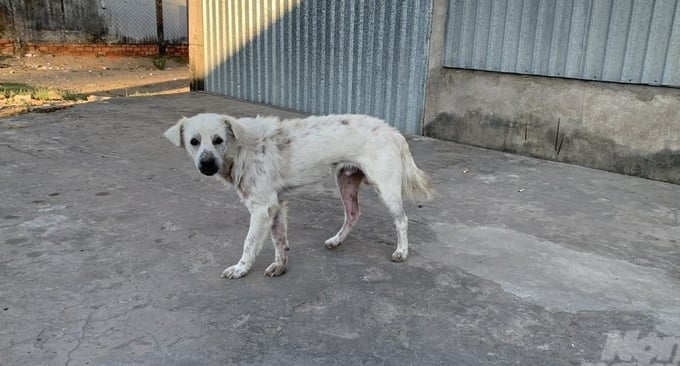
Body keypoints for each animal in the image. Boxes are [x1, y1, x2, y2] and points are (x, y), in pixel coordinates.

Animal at [162, 113, 432, 278]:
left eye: (218, 140)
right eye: (194, 142)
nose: (206, 164)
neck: (242, 149)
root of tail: (393, 131)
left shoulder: (261, 208)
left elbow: (249, 243)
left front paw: (240, 269)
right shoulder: (277, 206)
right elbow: (279, 241)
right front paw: (279, 266)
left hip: (386, 187)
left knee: (401, 220)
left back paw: (402, 252)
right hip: (346, 181)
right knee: (353, 213)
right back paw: (336, 240)